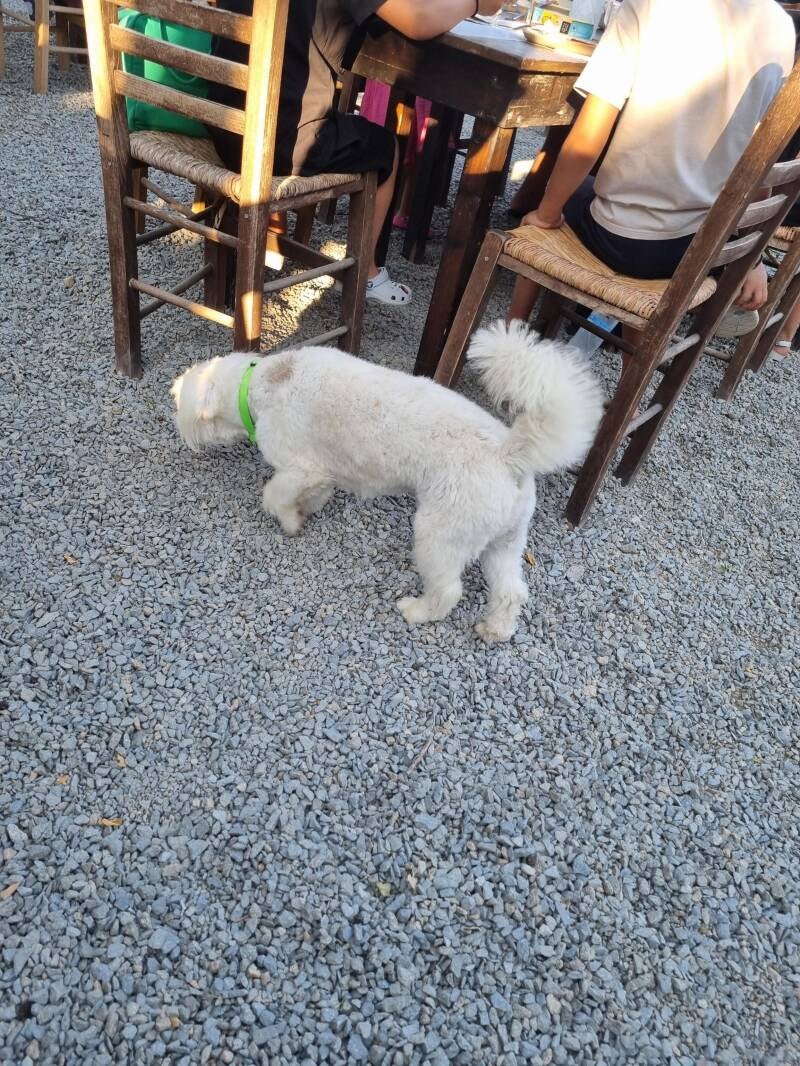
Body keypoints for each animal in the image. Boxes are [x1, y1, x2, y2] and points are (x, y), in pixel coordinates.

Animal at [170, 321, 604, 642]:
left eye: (180, 404)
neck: (266, 383)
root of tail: (510, 452)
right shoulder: (324, 472)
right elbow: (315, 494)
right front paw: (305, 510)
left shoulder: (299, 467)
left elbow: (274, 495)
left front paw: (290, 522)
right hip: (504, 540)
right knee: (511, 591)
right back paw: (494, 629)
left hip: (439, 533)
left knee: (449, 590)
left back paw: (417, 611)